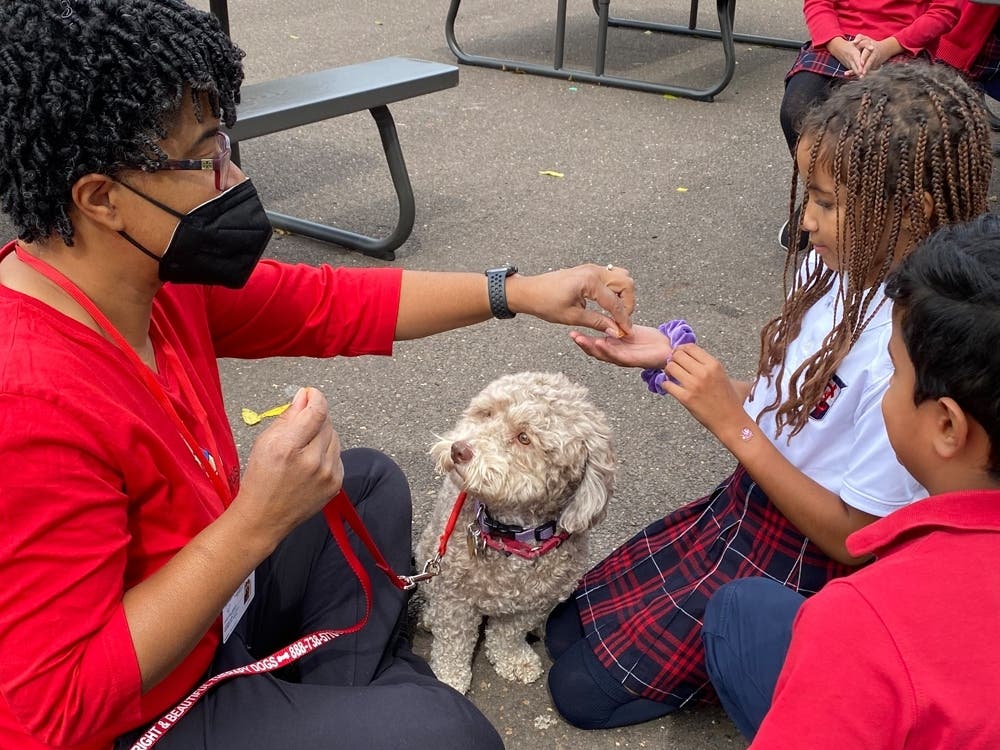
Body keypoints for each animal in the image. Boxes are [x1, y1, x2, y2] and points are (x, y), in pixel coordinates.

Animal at [412, 374, 612, 696]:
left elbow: (509, 634)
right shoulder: (455, 598)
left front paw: (514, 660)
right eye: (486, 413)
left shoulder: (534, 602)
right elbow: (453, 643)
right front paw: (449, 679)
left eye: (524, 438)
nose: (458, 449)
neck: (510, 534)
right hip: (429, 552)